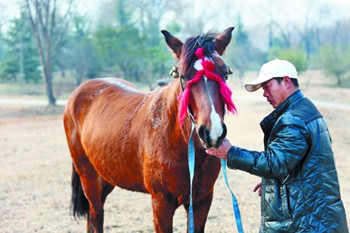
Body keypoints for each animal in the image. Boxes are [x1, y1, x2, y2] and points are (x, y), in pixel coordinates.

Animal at [64, 26, 237, 232]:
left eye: (225, 74)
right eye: (183, 75)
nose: (212, 133)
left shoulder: (201, 201)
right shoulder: (161, 203)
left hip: (106, 176)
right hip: (88, 176)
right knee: (96, 213)